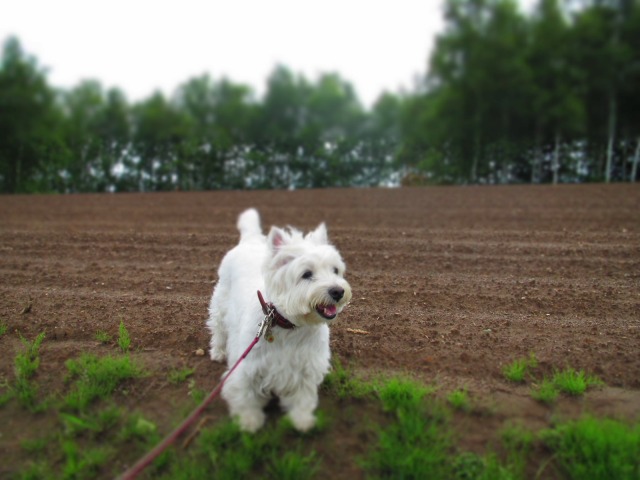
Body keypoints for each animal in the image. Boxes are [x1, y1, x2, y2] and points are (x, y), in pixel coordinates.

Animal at [208, 208, 352, 434]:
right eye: (306, 274)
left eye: (335, 270)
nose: (338, 291)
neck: (290, 326)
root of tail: (250, 240)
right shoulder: (247, 367)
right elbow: (245, 395)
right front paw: (249, 422)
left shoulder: (306, 367)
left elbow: (303, 397)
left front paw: (302, 421)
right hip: (220, 304)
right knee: (218, 329)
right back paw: (218, 352)